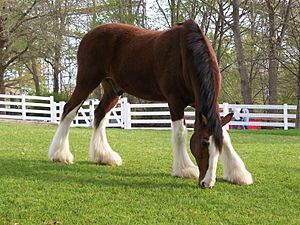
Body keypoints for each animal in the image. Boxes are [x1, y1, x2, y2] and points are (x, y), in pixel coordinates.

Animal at [48, 19, 253, 188]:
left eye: (217, 148)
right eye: (203, 144)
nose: (207, 183)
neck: (186, 54)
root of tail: (89, 34)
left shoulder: (199, 104)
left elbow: (225, 135)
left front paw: (238, 174)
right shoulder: (175, 101)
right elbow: (180, 133)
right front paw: (185, 169)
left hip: (113, 88)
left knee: (100, 114)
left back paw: (104, 156)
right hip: (86, 80)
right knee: (69, 110)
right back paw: (60, 154)